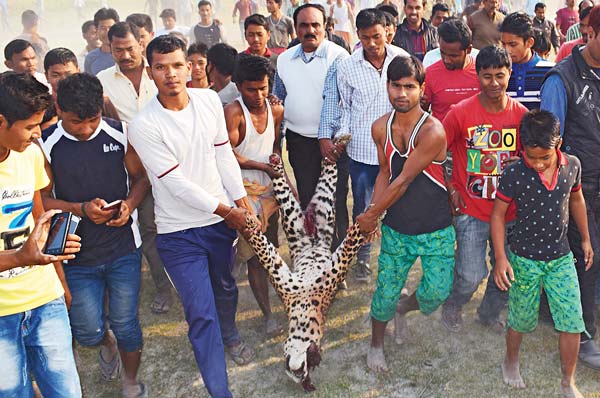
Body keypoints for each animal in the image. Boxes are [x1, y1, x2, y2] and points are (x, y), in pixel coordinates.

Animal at [243, 134, 366, 392]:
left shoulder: (332, 271)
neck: (303, 311)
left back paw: (337, 143)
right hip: (298, 214)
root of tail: (310, 228)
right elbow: (263, 250)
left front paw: (371, 218)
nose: (299, 370)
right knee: (311, 174)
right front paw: (247, 223)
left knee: (327, 170)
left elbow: (352, 240)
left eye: (306, 370)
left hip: (319, 208)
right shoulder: (281, 278)